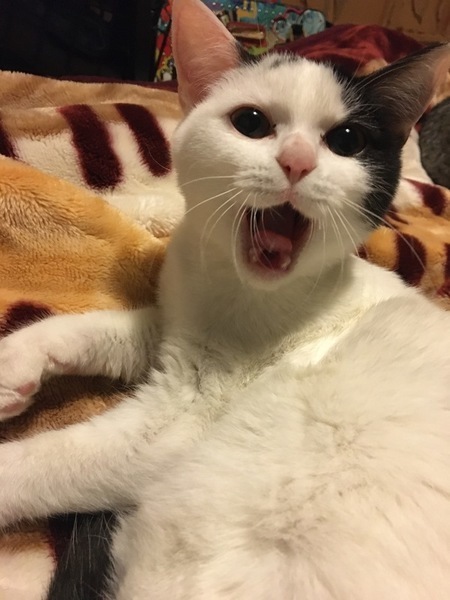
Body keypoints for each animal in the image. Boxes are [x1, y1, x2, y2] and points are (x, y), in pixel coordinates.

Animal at [0, 1, 450, 598]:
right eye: (252, 123)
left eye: (347, 141)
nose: (298, 161)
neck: (236, 292)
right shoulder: (177, 331)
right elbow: (114, 327)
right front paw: (18, 360)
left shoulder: (178, 422)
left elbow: (55, 459)